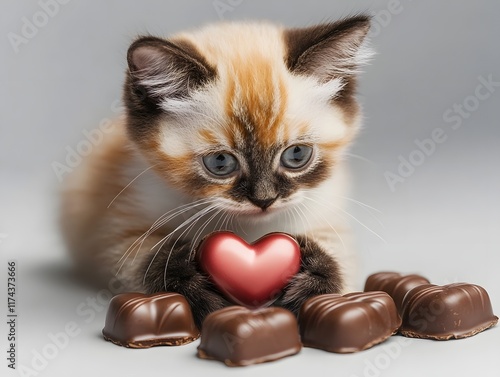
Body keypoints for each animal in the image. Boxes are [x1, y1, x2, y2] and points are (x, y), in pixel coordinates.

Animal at [60, 15, 372, 326]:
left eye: (296, 155)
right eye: (220, 163)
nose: (264, 200)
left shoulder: (327, 217)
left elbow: (338, 260)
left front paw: (311, 279)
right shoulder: (117, 227)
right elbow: (147, 259)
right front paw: (195, 289)